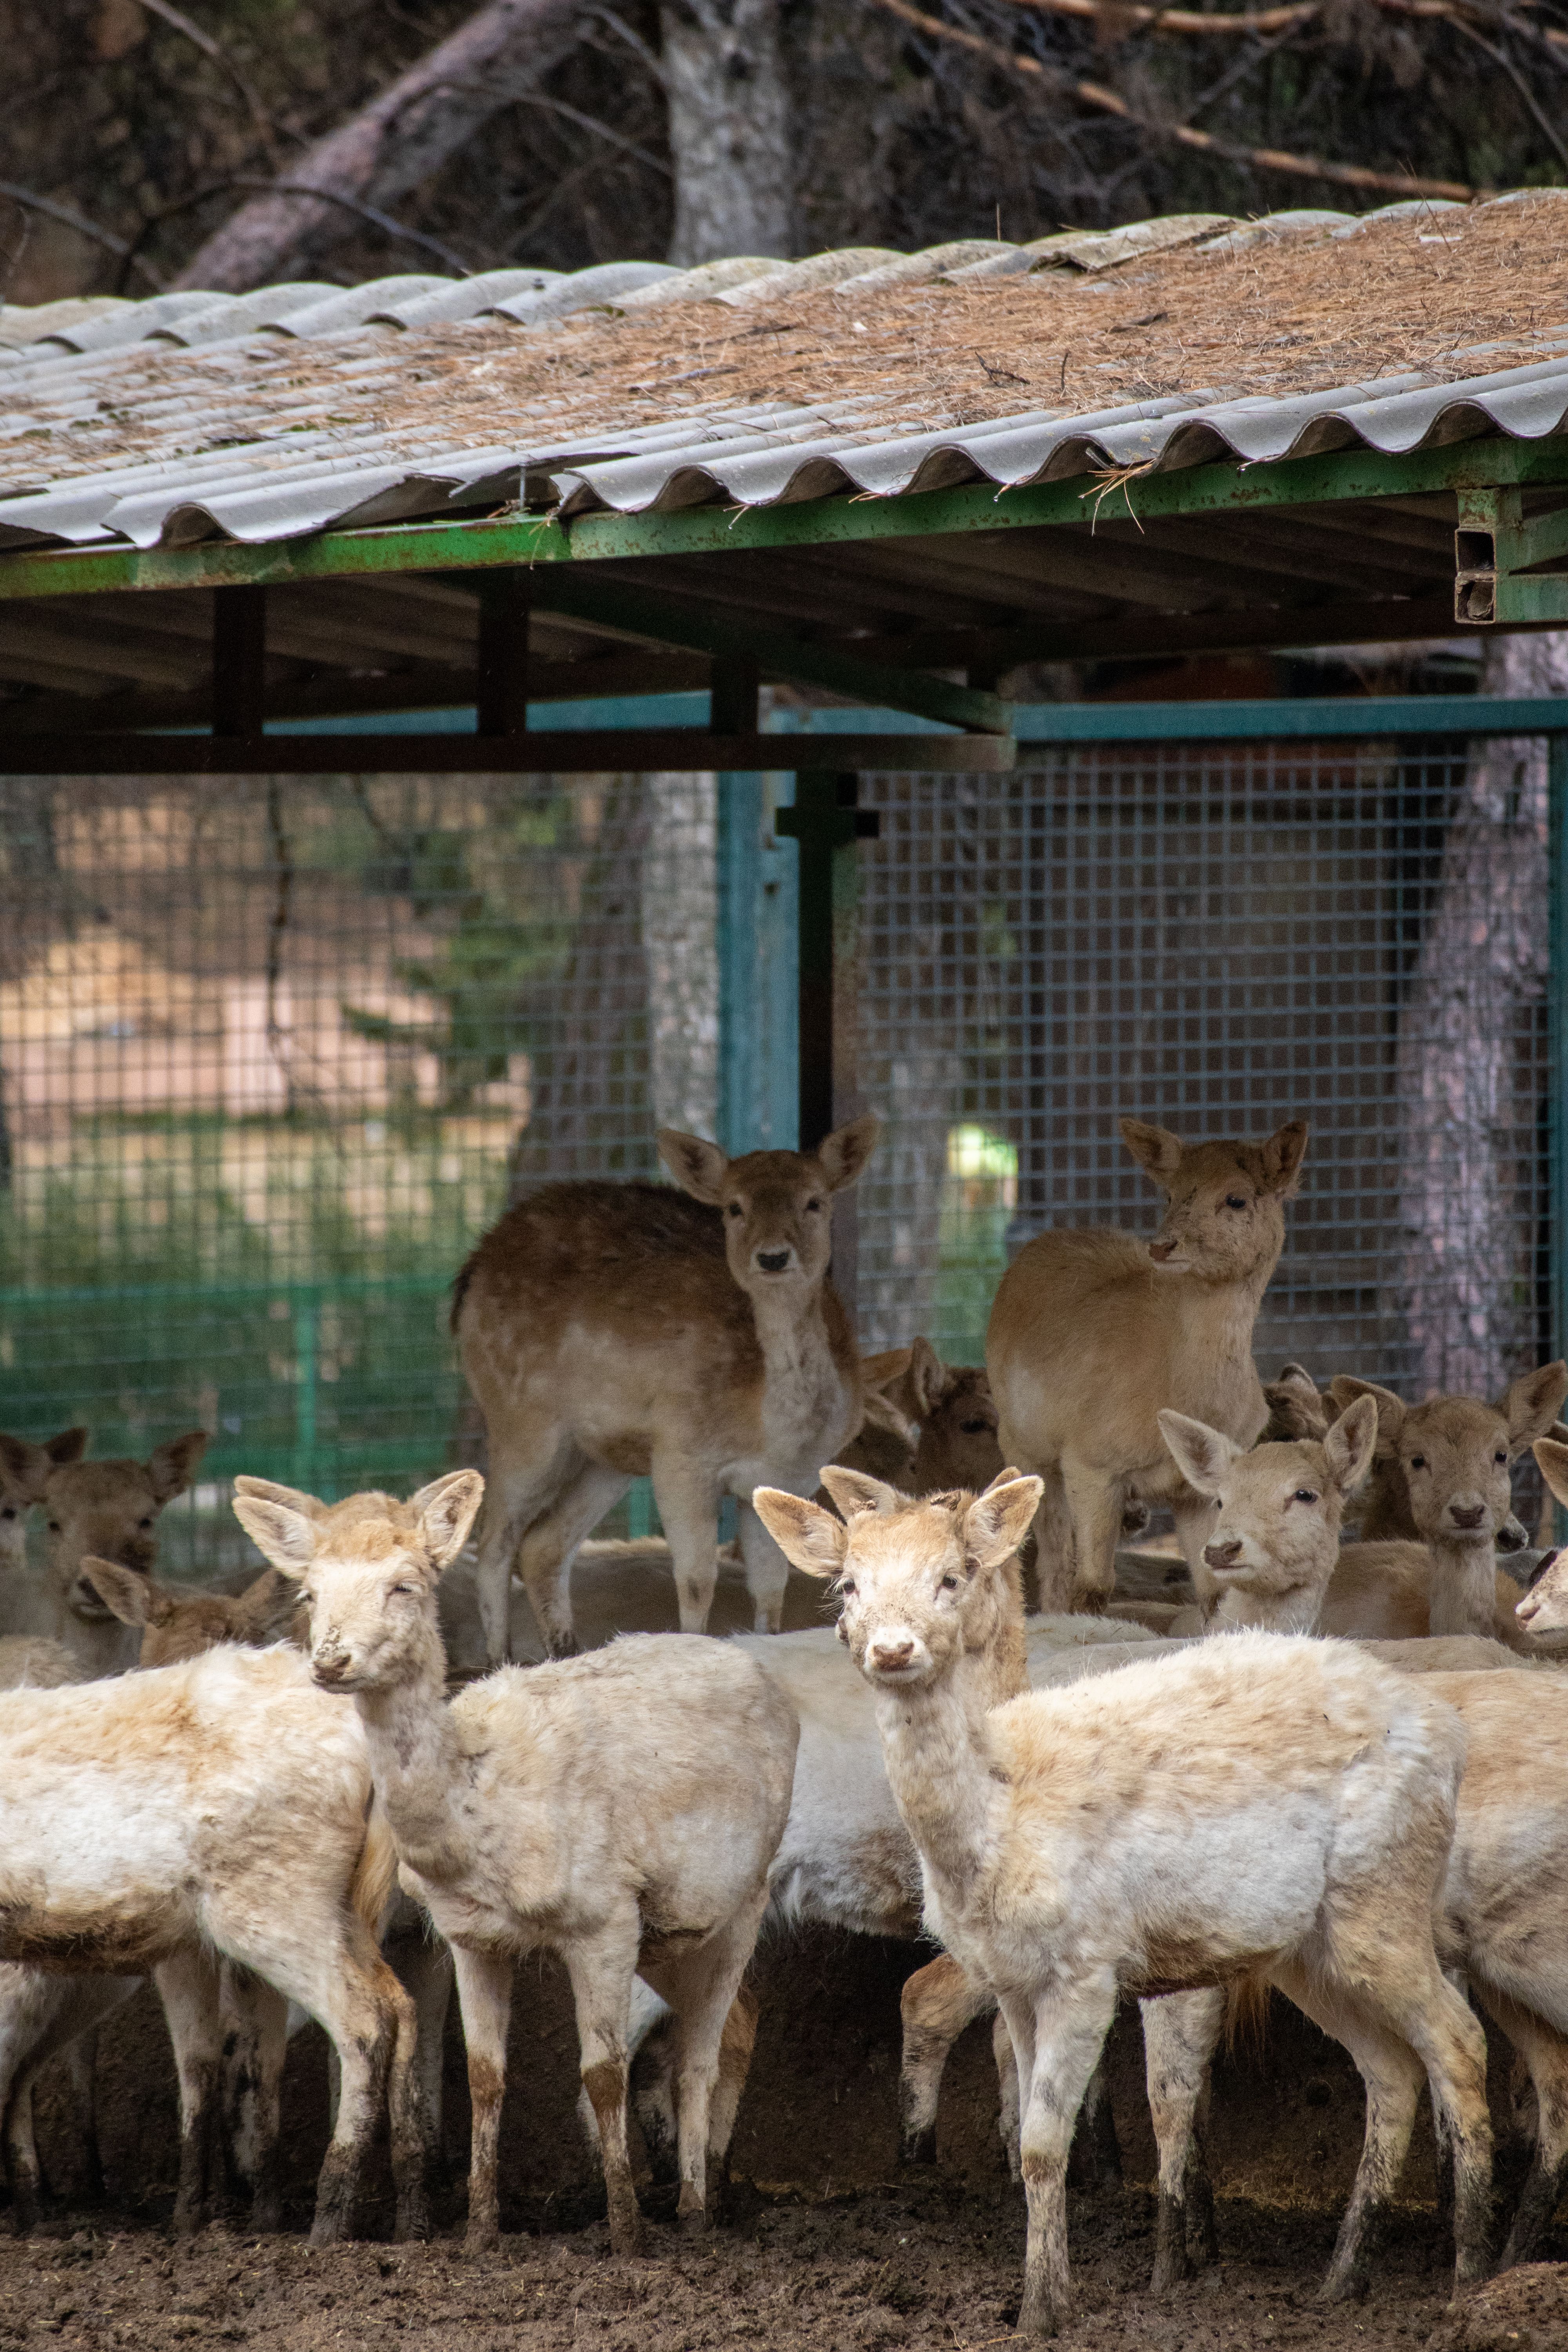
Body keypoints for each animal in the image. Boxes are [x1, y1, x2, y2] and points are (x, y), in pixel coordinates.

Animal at [232, 1469, 799, 2256]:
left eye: (405, 1585)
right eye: (309, 1593)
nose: (333, 1661)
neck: (478, 1824)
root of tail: (763, 1675)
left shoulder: (604, 1916)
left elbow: (602, 2074)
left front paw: (626, 2235)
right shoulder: (470, 1937)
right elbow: (484, 2076)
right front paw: (478, 2234)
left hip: (747, 1894)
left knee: (701, 2054)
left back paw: (692, 2210)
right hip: (673, 1932)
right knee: (724, 2025)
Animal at [453, 1116, 879, 1659]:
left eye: (815, 1200)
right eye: (734, 1207)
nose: (773, 1258)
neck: (770, 1426)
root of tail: (471, 1269)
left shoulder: (785, 1479)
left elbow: (770, 1589)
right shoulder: (681, 1457)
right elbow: (697, 1580)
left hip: (606, 1457)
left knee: (542, 1546)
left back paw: (566, 1650)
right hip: (522, 1422)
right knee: (493, 1543)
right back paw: (500, 1658)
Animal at [754, 1468, 1492, 2337]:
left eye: (952, 1576)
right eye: (847, 1585)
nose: (893, 1649)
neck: (996, 1827)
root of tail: (1449, 1736)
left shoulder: (1088, 1965)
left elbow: (1047, 2139)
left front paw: (1045, 2311)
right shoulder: (1010, 1982)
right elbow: (1033, 2126)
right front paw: (1044, 2296)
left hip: (1384, 1896)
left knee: (1458, 2039)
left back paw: (1472, 2272)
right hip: (1308, 1949)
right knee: (1389, 2068)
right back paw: (1340, 2279)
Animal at [987, 1117, 1306, 1613]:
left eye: (1237, 1198)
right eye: (1169, 1194)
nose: (1162, 1246)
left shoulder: (1201, 1493)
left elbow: (1215, 1594)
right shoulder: (1089, 1459)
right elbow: (1092, 1587)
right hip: (1020, 1439)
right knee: (1051, 1559)